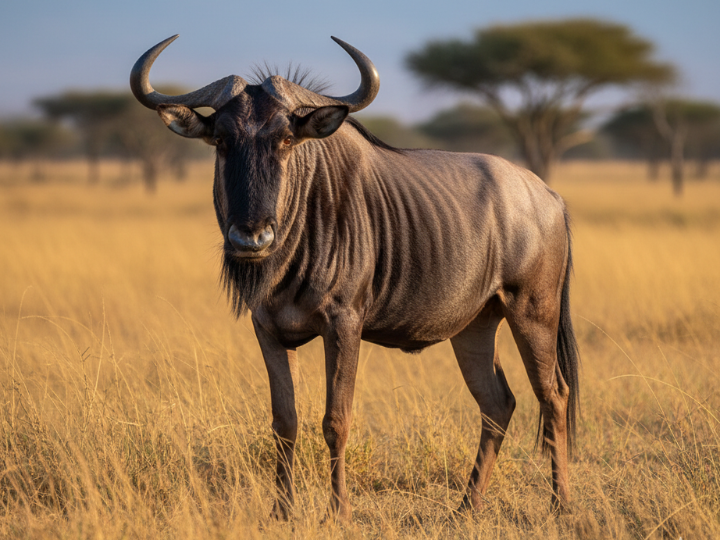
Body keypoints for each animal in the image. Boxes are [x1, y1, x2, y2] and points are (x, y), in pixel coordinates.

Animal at [130, 35, 580, 521]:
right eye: (221, 139)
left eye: (286, 138)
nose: (250, 237)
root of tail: (549, 195)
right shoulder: (267, 330)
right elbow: (284, 421)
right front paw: (281, 512)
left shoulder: (343, 326)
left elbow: (336, 420)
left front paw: (338, 511)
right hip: (474, 327)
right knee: (498, 403)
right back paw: (465, 508)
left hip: (533, 312)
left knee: (553, 395)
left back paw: (560, 504)